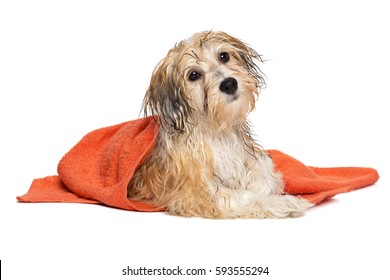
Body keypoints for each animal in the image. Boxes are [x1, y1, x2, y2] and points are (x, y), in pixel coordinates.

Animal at [129, 31, 314, 219]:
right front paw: (283, 202)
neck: (217, 131)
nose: (229, 84)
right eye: (193, 75)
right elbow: (244, 197)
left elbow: (265, 175)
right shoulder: (199, 193)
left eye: (224, 56)